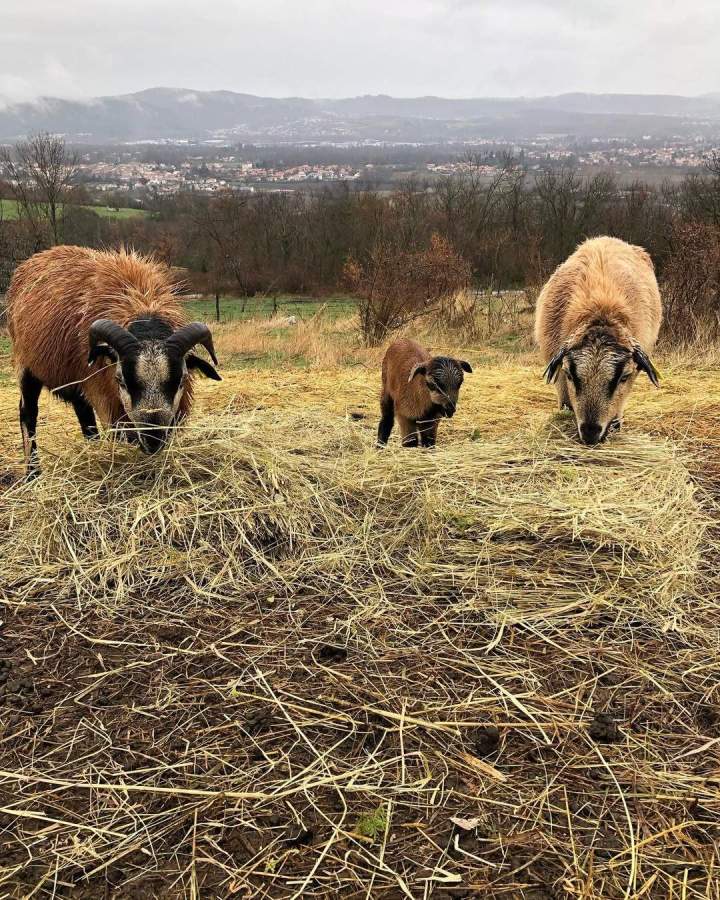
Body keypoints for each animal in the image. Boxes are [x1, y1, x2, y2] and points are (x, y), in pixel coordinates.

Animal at [7, 245, 221, 478]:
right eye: (121, 381)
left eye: (181, 380)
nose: (152, 440)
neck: (143, 306)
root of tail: (36, 257)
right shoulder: (106, 399)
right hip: (26, 367)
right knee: (28, 414)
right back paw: (33, 473)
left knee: (84, 415)